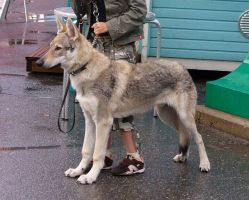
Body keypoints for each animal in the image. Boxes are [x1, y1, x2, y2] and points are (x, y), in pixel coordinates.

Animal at [36, 18, 210, 184]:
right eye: (50, 46)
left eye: (58, 48)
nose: (38, 62)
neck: (86, 69)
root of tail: (182, 66)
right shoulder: (90, 121)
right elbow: (85, 151)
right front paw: (78, 171)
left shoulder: (103, 121)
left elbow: (97, 154)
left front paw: (90, 177)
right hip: (166, 116)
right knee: (184, 133)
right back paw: (183, 156)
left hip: (184, 117)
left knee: (199, 137)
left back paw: (205, 164)